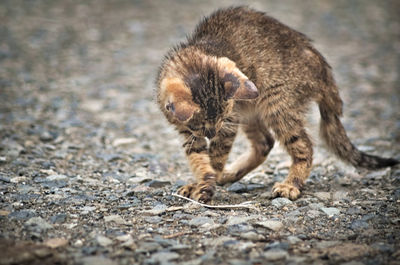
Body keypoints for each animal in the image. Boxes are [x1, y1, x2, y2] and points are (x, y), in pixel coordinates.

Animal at [155, 6, 396, 202]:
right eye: (199, 124)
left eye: (221, 118)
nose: (211, 132)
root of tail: (323, 69)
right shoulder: (190, 131)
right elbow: (197, 156)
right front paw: (201, 181)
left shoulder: (229, 122)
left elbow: (215, 156)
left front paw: (205, 183)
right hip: (251, 109)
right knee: (265, 142)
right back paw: (231, 174)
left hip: (277, 103)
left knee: (304, 146)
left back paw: (291, 184)